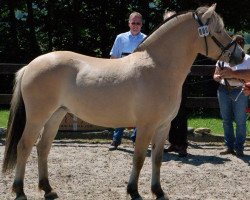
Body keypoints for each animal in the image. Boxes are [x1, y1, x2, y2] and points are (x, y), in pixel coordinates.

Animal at [1, 4, 244, 200]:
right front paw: (134, 191)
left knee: (43, 148)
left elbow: (157, 159)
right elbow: (139, 159)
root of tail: (31, 65)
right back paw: (20, 191)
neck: (158, 67)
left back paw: (48, 189)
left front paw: (158, 191)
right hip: (37, 116)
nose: (240, 54)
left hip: (56, 115)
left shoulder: (163, 126)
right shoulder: (146, 126)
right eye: (218, 30)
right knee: (24, 146)